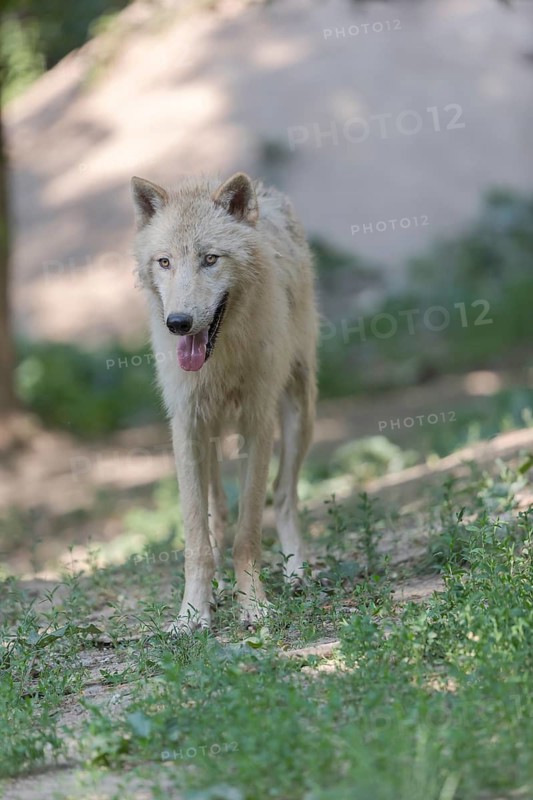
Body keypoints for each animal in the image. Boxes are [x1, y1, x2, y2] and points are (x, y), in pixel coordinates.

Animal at [131, 172, 318, 631]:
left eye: (210, 259)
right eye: (165, 262)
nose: (178, 323)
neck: (222, 358)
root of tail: (267, 193)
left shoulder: (257, 424)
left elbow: (248, 532)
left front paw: (253, 604)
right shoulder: (186, 427)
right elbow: (197, 536)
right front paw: (192, 613)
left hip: (301, 413)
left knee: (284, 497)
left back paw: (297, 572)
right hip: (210, 435)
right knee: (217, 511)